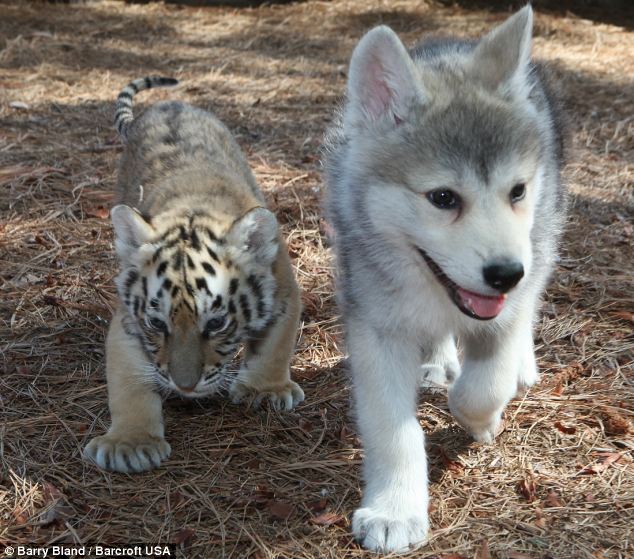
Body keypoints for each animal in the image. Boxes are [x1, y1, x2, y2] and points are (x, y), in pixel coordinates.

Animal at [84, 77, 304, 472]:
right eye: (157, 324)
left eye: (216, 324)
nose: (185, 386)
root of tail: (167, 103)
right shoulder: (128, 322)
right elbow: (128, 381)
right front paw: (130, 443)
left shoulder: (284, 292)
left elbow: (276, 347)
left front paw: (265, 390)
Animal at [324, 5, 564, 556]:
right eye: (442, 198)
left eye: (517, 190)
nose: (505, 275)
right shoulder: (376, 328)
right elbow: (393, 429)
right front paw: (394, 511)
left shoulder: (509, 301)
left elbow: (483, 384)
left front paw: (481, 418)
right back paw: (437, 361)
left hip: (543, 240)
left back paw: (520, 365)